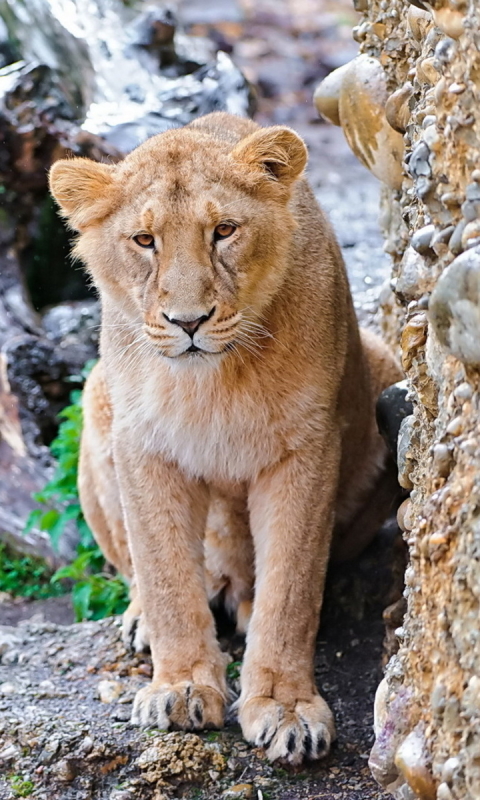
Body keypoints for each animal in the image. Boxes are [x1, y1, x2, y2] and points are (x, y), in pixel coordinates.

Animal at [49, 111, 402, 764]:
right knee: (142, 572)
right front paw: (182, 686)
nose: (188, 322)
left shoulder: (305, 450)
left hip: (384, 368)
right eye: (144, 240)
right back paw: (142, 621)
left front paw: (286, 707)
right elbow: (165, 575)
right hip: (95, 395)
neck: (212, 382)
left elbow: (290, 588)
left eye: (224, 231)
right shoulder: (144, 447)